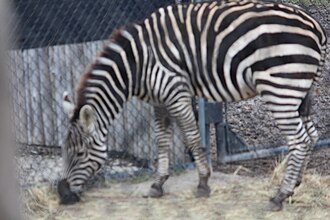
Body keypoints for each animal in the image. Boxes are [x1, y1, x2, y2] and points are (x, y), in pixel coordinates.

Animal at [57, 0, 328, 211]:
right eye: (64, 151)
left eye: (79, 153)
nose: (62, 194)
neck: (138, 63)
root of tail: (316, 26)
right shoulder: (159, 101)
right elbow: (162, 140)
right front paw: (158, 184)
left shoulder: (176, 93)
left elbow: (192, 136)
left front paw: (203, 183)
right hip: (301, 92)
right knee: (312, 136)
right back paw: (295, 185)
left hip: (281, 89)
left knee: (299, 139)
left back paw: (279, 196)